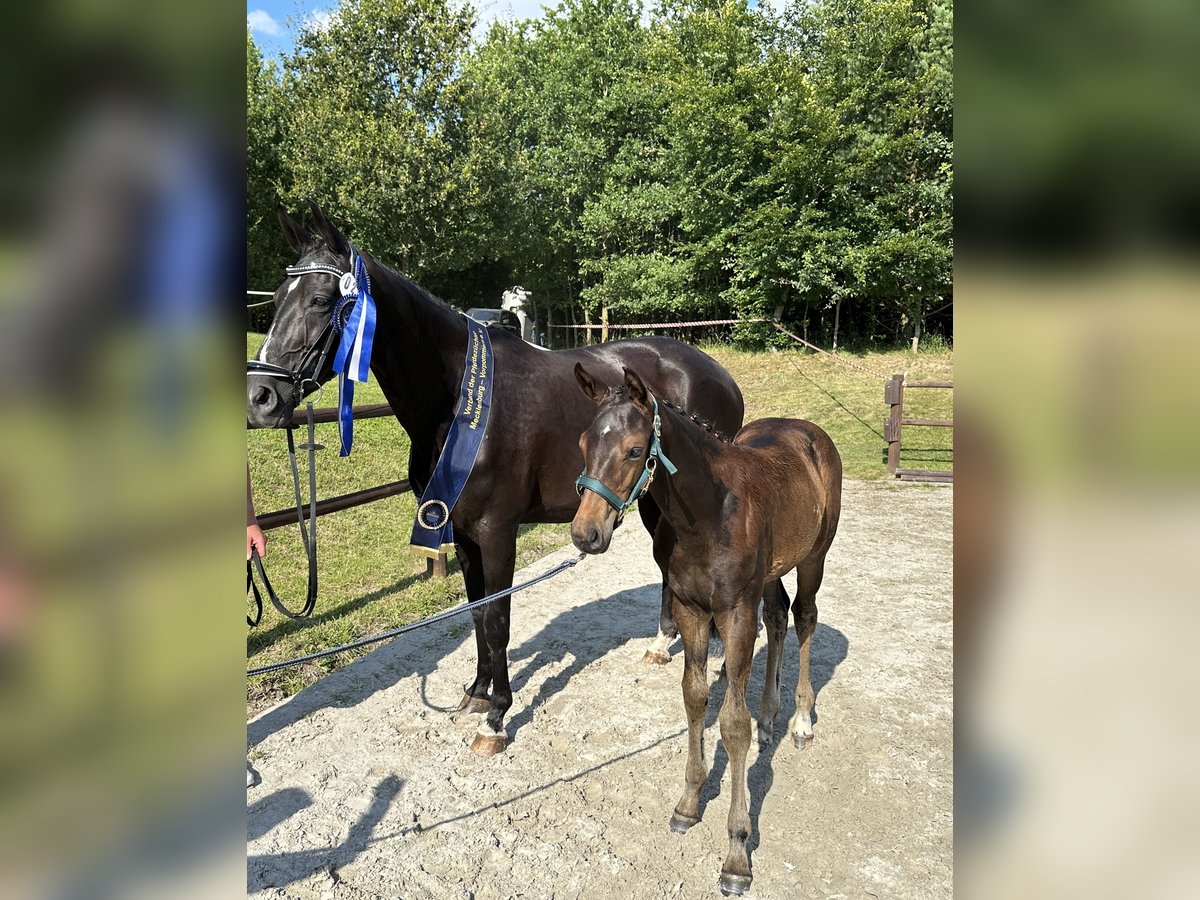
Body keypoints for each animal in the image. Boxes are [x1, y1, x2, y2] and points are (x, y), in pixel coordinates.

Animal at [571, 364, 844, 897]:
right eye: (583, 443)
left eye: (634, 449)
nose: (585, 534)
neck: (710, 513)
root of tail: (808, 430)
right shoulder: (692, 610)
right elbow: (695, 697)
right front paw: (689, 802)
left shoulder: (735, 613)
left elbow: (732, 724)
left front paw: (737, 853)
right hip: (770, 573)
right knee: (778, 618)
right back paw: (771, 717)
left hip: (813, 557)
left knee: (804, 618)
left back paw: (800, 720)